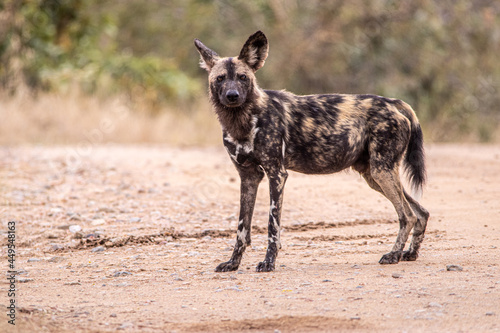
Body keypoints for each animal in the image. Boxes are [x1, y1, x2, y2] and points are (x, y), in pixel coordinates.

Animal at [195, 29, 430, 272]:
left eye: (242, 77)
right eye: (220, 78)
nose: (232, 95)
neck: (242, 121)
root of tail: (394, 102)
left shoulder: (276, 174)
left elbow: (272, 226)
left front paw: (269, 262)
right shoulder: (249, 176)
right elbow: (242, 228)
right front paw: (233, 263)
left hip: (381, 171)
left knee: (407, 216)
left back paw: (393, 254)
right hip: (374, 175)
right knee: (421, 212)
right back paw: (409, 253)